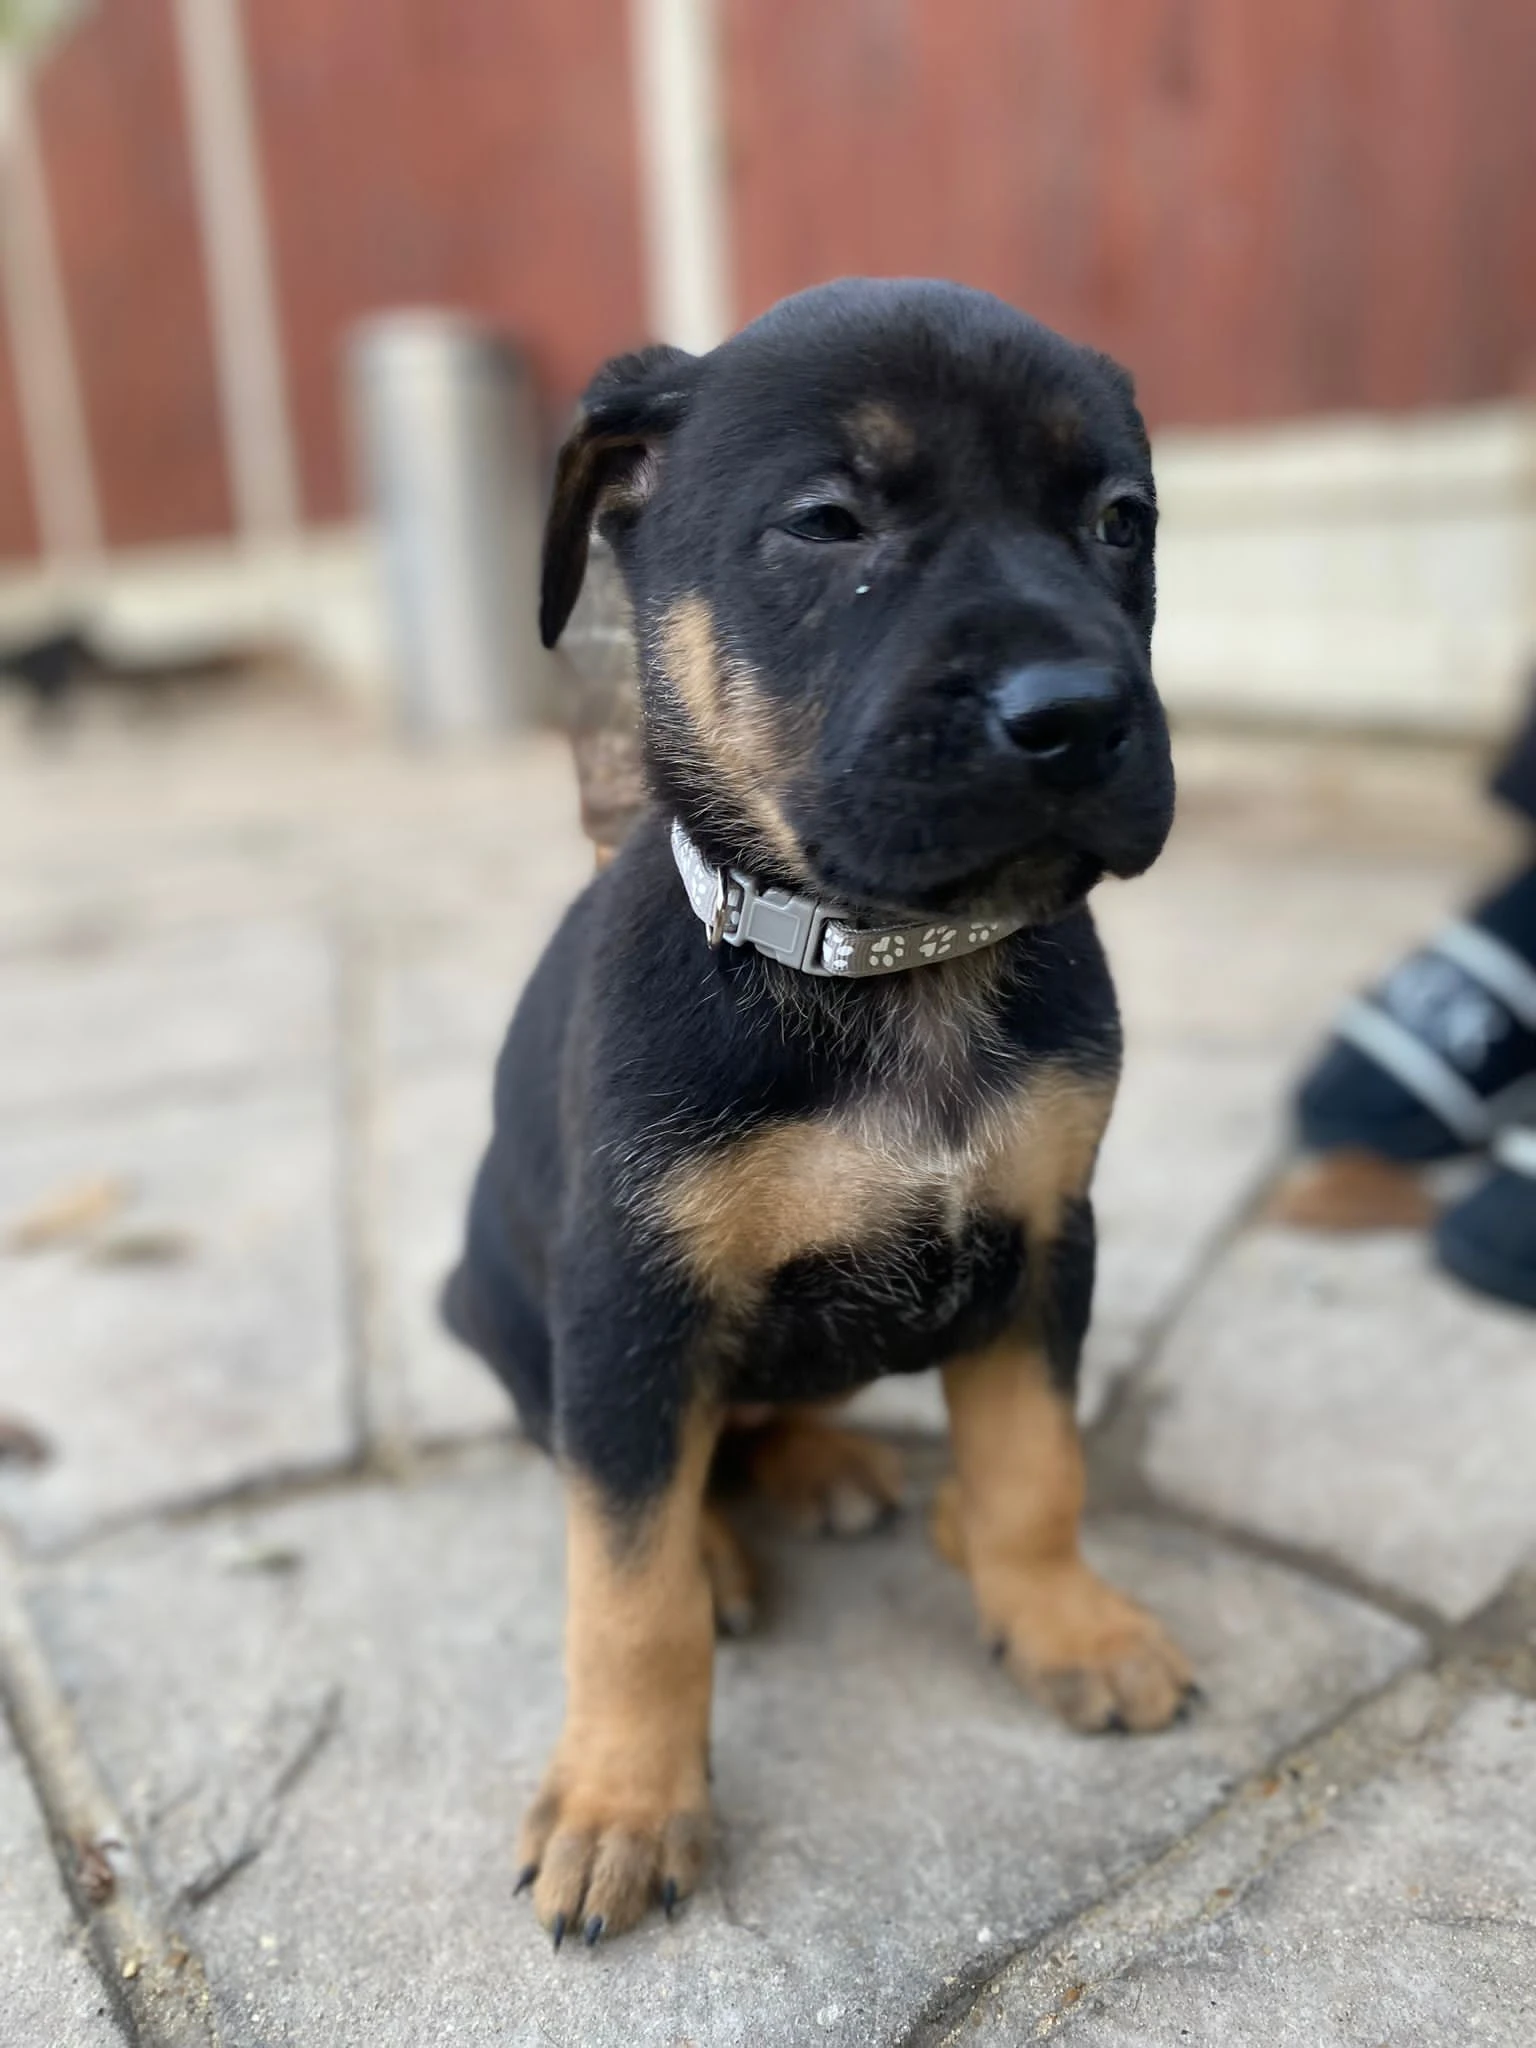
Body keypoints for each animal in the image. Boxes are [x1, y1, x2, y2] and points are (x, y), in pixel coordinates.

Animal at [444, 276, 1187, 1949]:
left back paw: (834, 1472)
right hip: (521, 1322)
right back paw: (725, 1539)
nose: (1079, 716)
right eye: (829, 523)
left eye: (1120, 521)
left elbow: (1036, 1468)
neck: (889, 958)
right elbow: (626, 1591)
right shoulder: (629, 1303)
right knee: (628, 1478)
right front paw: (624, 1801)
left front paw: (1063, 1619)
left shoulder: (1045, 1240)